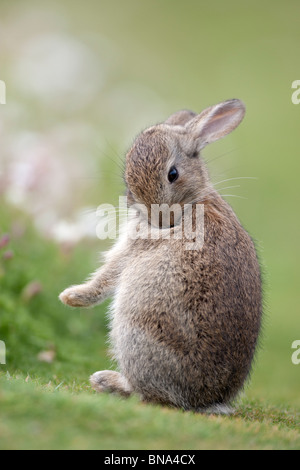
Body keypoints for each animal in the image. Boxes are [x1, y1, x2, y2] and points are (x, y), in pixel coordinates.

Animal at [59, 98, 262, 412]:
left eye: (173, 174)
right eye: (128, 179)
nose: (159, 219)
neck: (191, 203)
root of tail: (204, 400)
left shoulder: (133, 246)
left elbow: (108, 275)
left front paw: (71, 297)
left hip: (134, 332)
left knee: (152, 396)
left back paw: (106, 381)